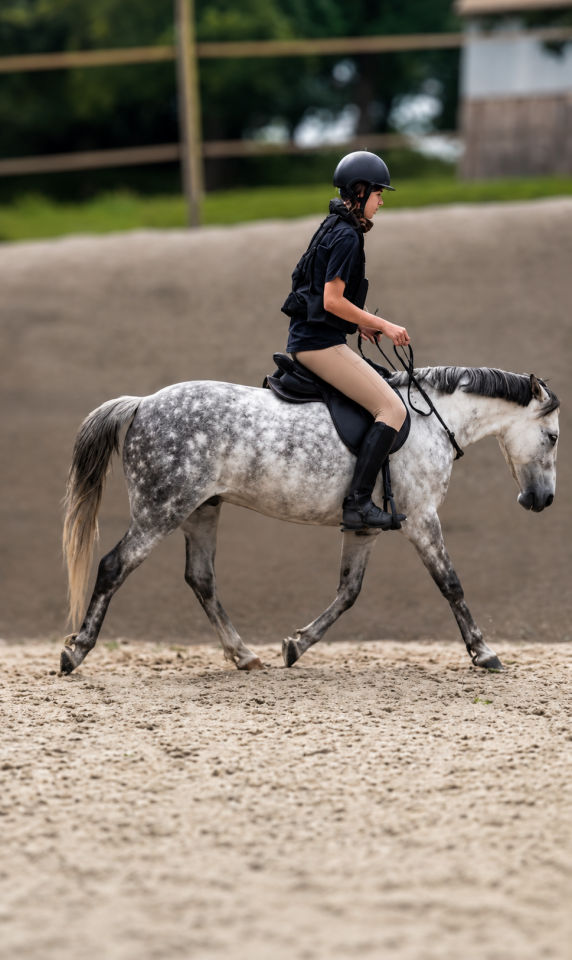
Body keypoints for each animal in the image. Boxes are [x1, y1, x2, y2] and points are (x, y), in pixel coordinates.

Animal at [60, 366, 559, 676]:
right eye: (553, 437)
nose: (542, 500)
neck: (432, 420)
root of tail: (143, 403)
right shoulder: (421, 519)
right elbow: (451, 584)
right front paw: (484, 653)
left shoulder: (365, 527)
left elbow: (348, 592)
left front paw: (296, 645)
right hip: (161, 509)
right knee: (114, 566)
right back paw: (75, 652)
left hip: (202, 509)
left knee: (201, 579)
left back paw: (245, 656)